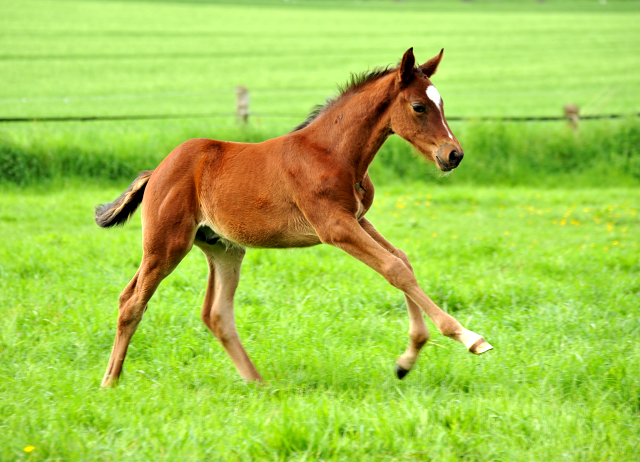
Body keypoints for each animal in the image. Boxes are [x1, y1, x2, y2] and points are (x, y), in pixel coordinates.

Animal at [96, 47, 496, 386]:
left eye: (440, 103)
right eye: (418, 106)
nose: (453, 155)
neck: (334, 152)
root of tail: (157, 171)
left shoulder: (357, 219)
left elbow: (402, 260)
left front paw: (406, 360)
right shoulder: (334, 226)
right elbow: (395, 269)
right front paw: (469, 338)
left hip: (224, 248)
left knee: (216, 314)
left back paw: (258, 384)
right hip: (166, 244)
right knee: (131, 302)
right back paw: (110, 382)